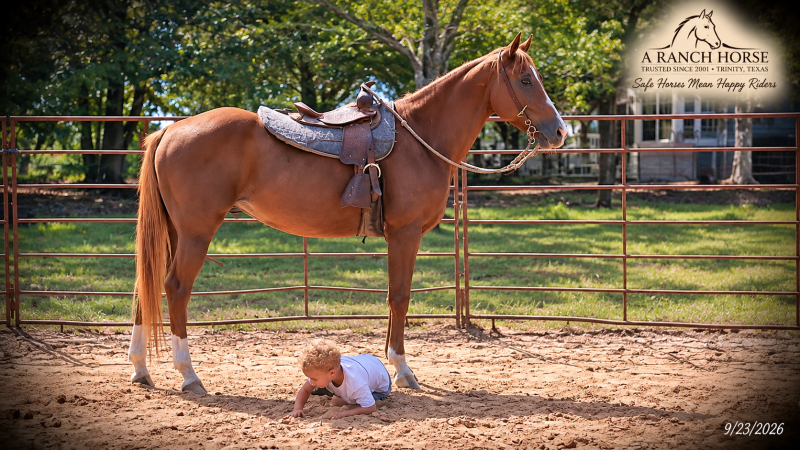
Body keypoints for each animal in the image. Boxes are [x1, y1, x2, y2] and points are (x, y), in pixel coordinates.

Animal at [128, 33, 566, 394]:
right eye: (526, 81)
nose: (560, 131)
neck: (420, 139)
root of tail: (171, 129)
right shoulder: (405, 234)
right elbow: (400, 298)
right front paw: (403, 369)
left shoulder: (398, 237)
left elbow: (392, 299)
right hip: (196, 232)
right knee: (176, 289)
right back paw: (189, 375)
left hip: (172, 232)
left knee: (144, 285)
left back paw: (140, 369)